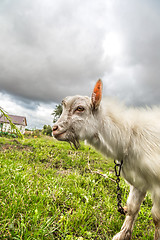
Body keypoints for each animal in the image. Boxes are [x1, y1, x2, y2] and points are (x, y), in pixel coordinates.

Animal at [53, 79, 160, 239]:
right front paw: (122, 235)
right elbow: (132, 208)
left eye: (80, 108)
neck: (129, 136)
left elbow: (156, 218)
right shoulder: (139, 180)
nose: (54, 128)